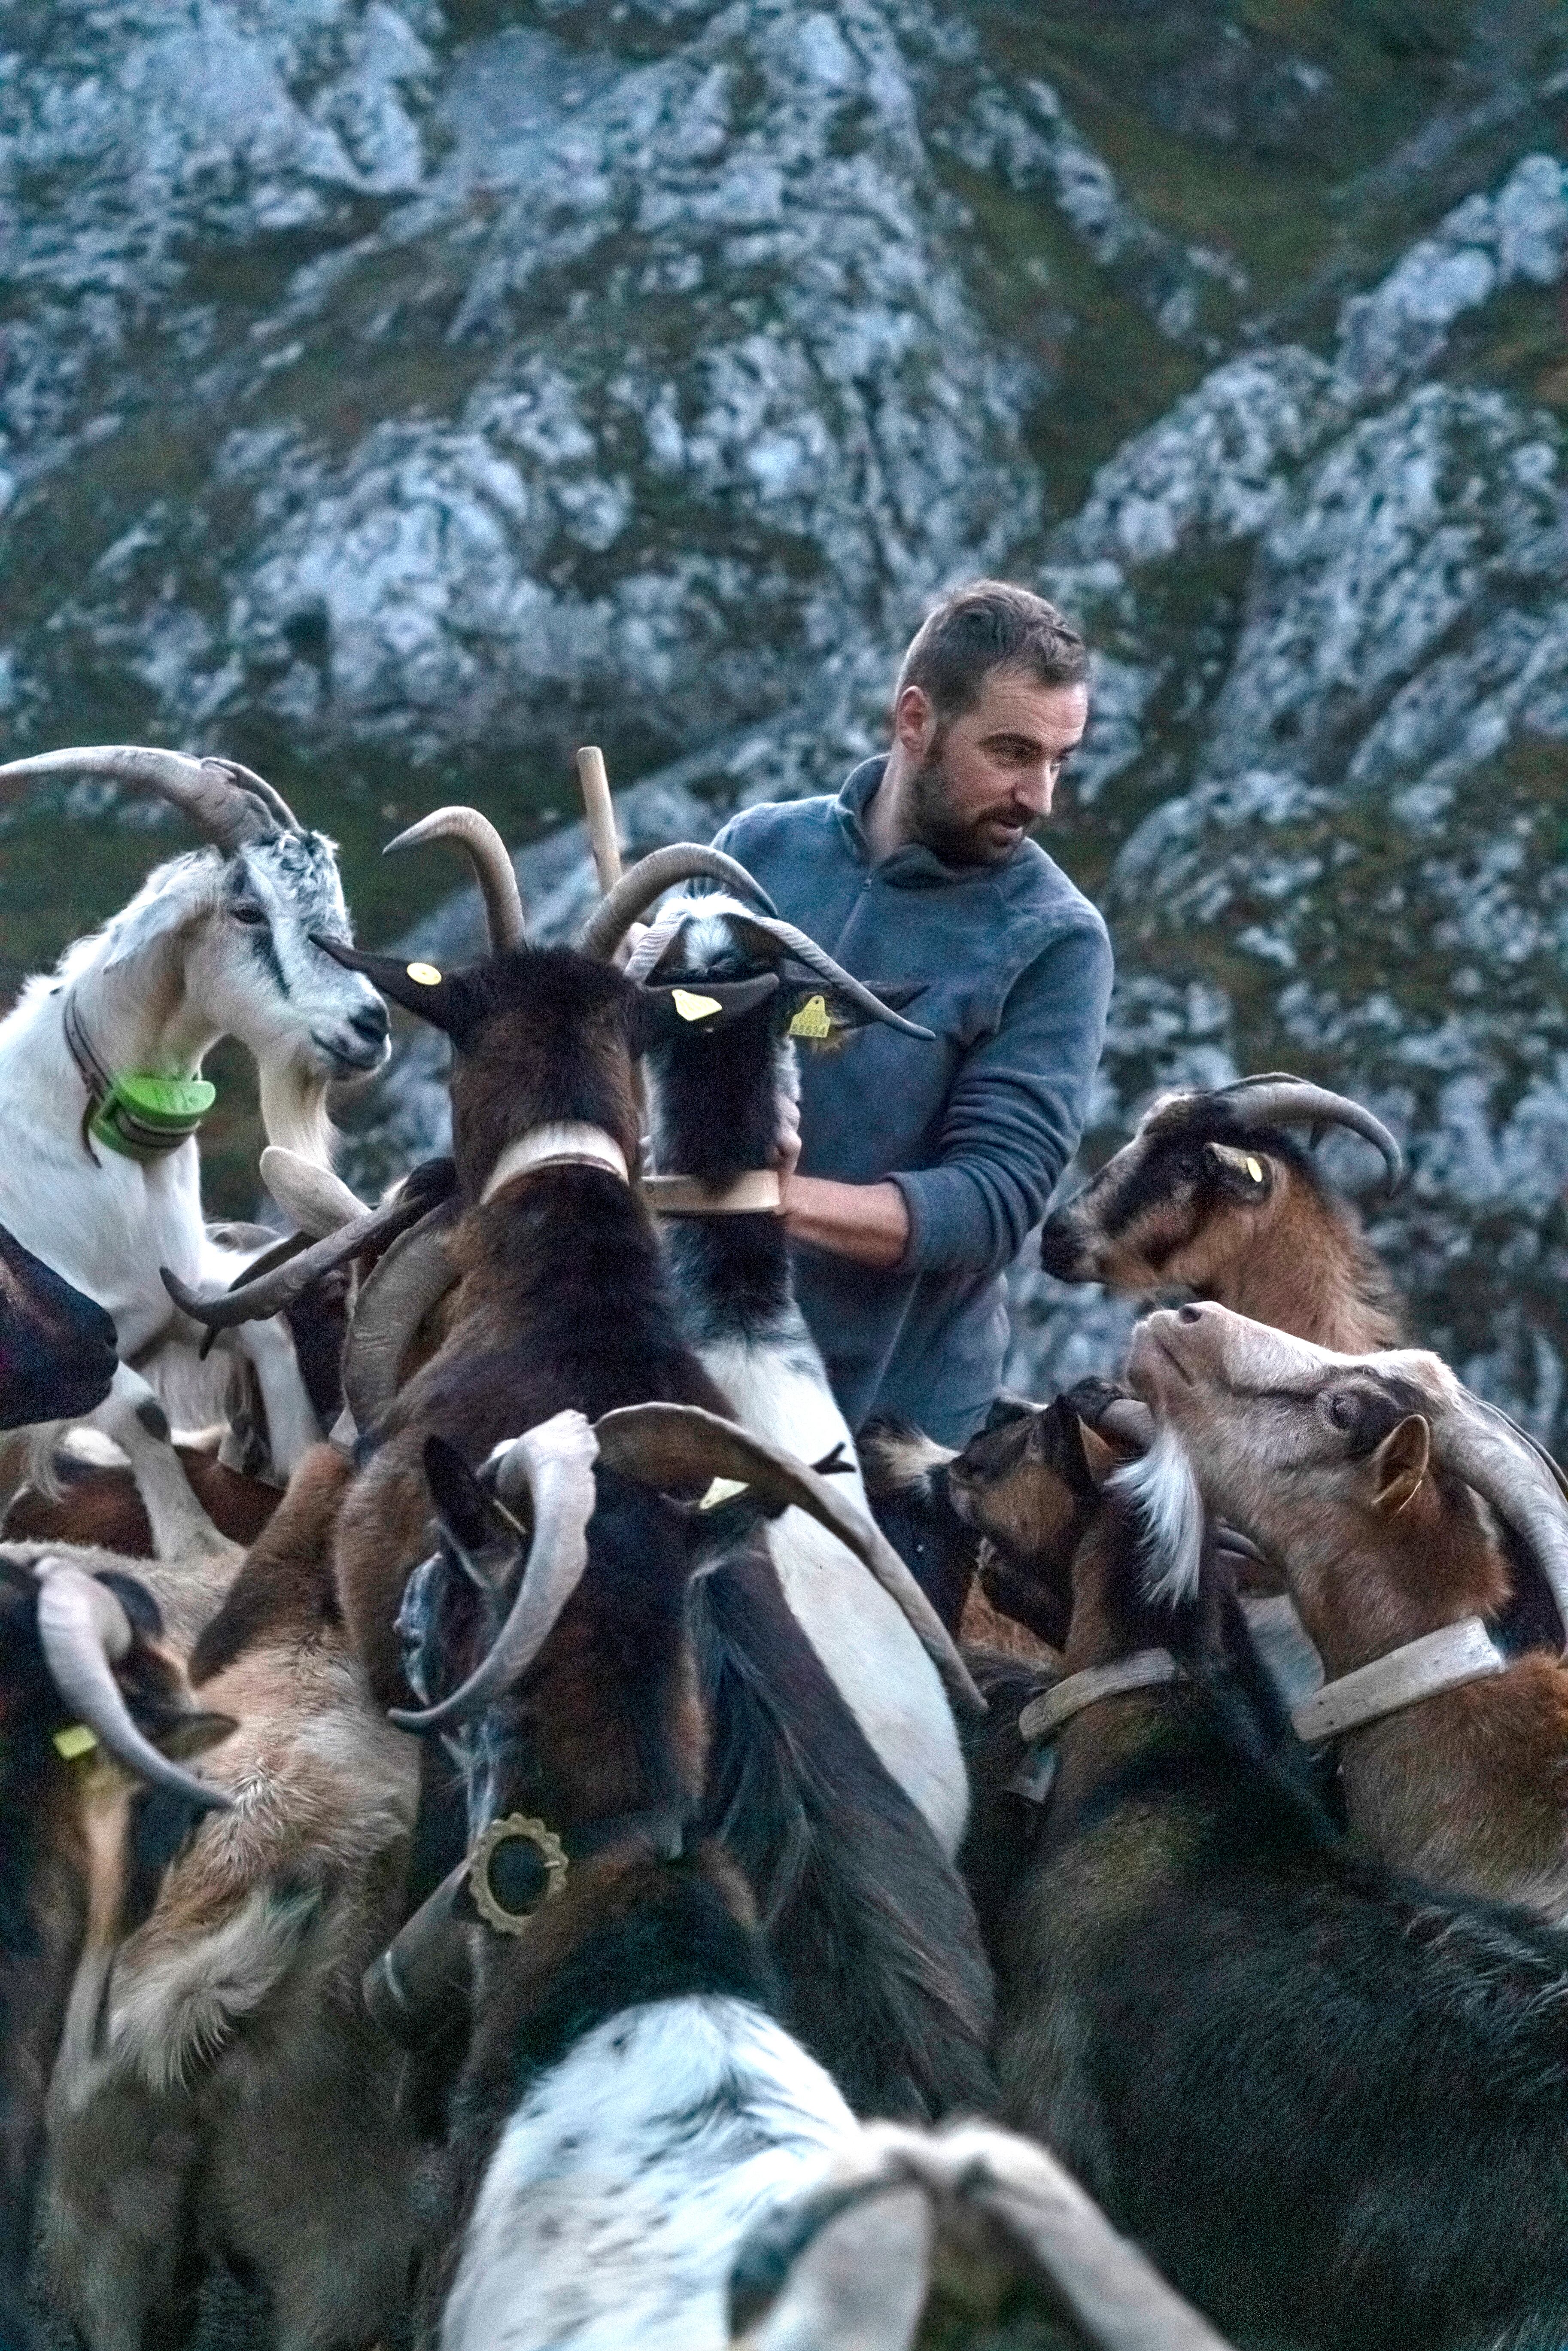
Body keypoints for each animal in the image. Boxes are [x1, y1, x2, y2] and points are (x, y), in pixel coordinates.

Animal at [0, 743, 390, 1551]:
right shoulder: (70, 1350)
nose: (371, 1026)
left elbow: (262, 1328)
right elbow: (144, 1411)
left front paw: (297, 1465)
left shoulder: (176, 1296)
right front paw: (196, 1543)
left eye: (336, 911)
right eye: (248, 911)